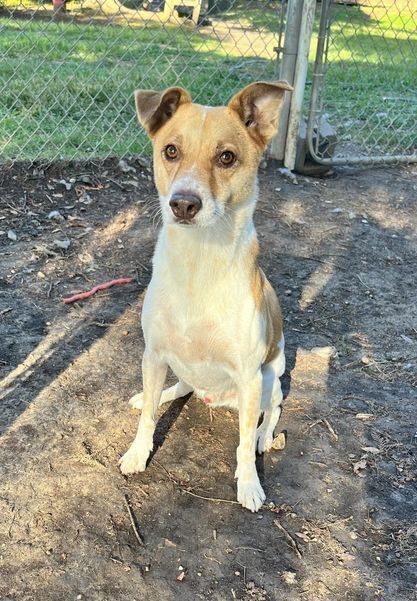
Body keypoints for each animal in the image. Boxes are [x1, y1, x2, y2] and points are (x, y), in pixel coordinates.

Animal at [118, 79, 290, 510]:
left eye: (226, 157)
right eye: (170, 150)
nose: (182, 203)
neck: (198, 263)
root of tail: (216, 398)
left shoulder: (249, 374)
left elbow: (242, 444)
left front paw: (249, 484)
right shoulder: (154, 353)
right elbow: (147, 417)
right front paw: (138, 453)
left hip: (269, 376)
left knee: (272, 410)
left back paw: (265, 437)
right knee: (178, 387)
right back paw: (155, 394)